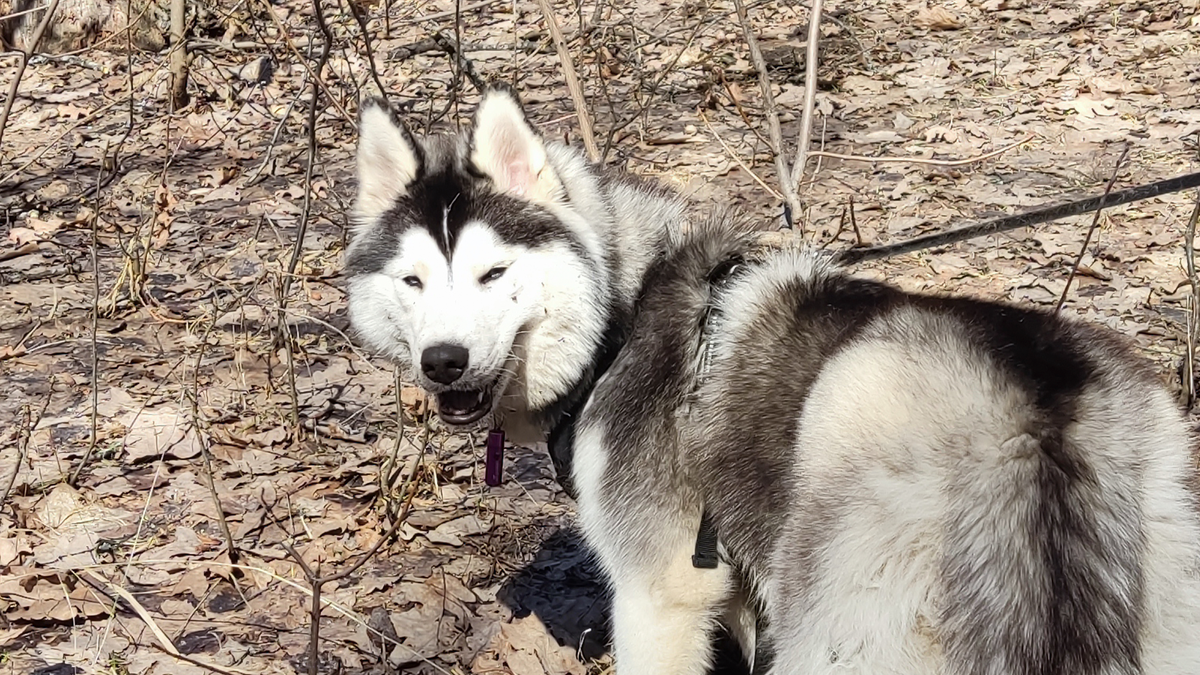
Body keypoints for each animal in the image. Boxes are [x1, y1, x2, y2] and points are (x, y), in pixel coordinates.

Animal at [345, 89, 1200, 672]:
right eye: (413, 281)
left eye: (493, 273)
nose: (444, 360)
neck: (621, 314)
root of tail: (1035, 408)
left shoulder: (660, 595)